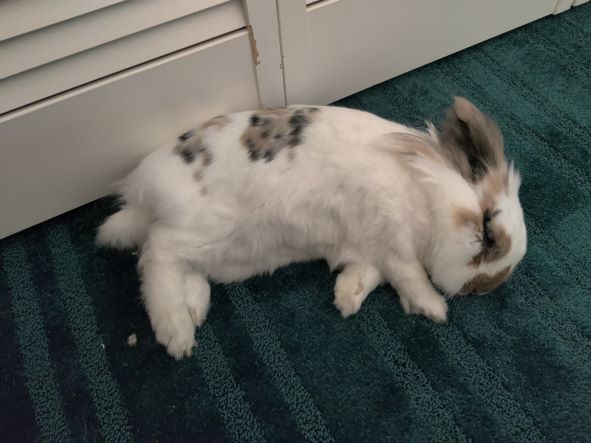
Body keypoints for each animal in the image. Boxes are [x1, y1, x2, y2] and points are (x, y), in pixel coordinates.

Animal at [97, 98, 528, 360]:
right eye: (488, 232)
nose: (482, 288)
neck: (422, 192)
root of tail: (145, 192)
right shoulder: (393, 239)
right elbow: (411, 276)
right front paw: (435, 308)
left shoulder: (368, 249)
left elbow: (369, 273)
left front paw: (346, 298)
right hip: (205, 228)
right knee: (157, 255)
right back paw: (177, 332)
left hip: (227, 253)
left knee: (180, 263)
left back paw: (194, 306)